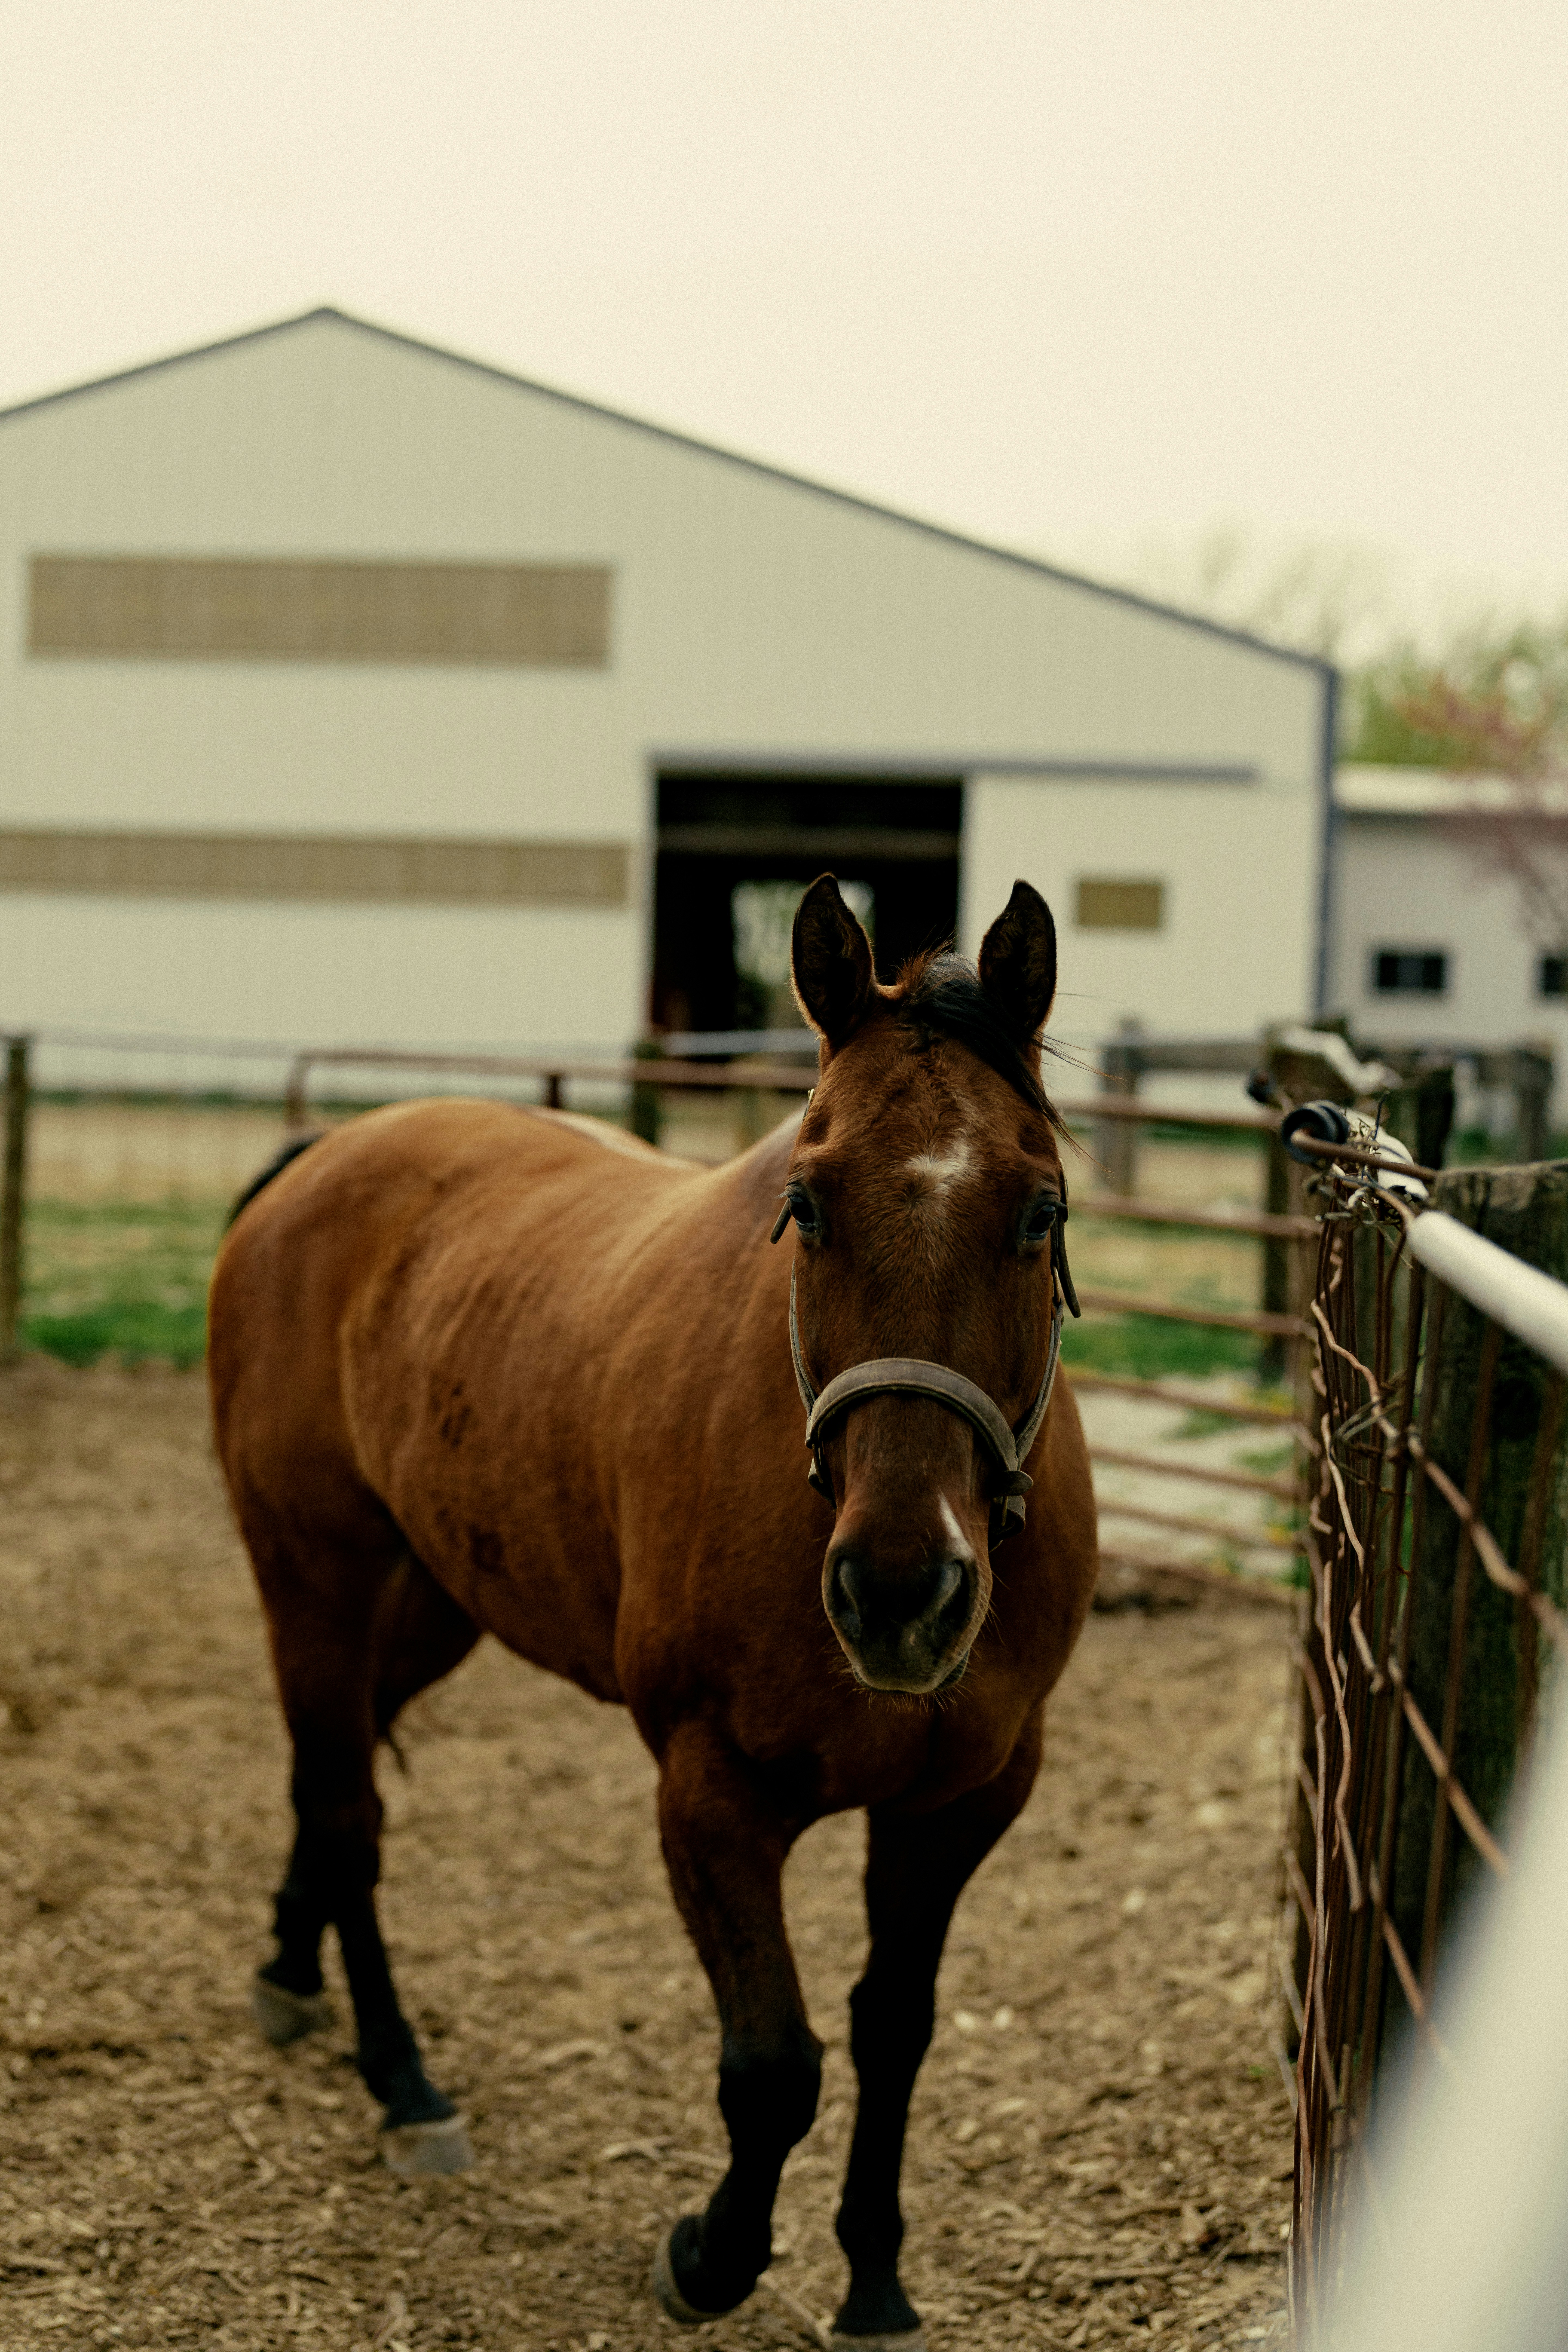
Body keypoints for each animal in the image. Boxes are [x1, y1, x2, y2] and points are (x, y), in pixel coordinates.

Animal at [207, 875, 1098, 2349]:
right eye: (806, 1203)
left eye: (1040, 1212)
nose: (900, 1590)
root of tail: (324, 1156)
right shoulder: (710, 1791)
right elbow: (775, 2065)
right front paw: (710, 2254)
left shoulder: (959, 1806)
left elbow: (893, 2029)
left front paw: (874, 2277)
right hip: (312, 1576)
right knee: (348, 1809)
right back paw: (403, 2079)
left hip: (432, 1598)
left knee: (325, 1774)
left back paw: (289, 1967)